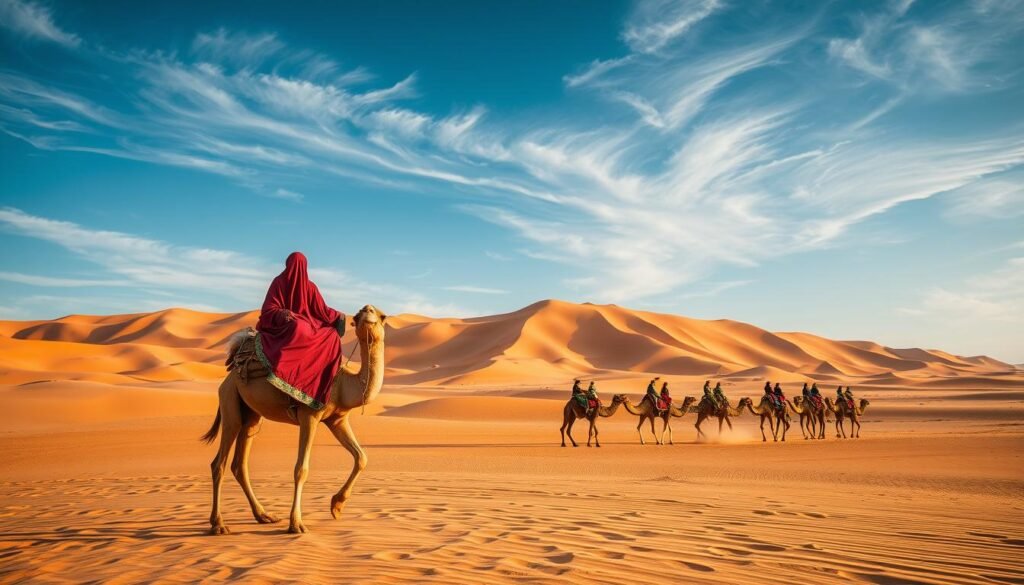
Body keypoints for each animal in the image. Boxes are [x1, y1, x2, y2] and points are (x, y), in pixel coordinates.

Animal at [201, 304, 387, 535]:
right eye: (359, 315)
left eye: (382, 317)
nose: (367, 309)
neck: (344, 385)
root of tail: (227, 378)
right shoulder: (310, 416)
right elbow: (301, 469)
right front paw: (296, 523)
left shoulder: (337, 420)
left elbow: (361, 457)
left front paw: (336, 506)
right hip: (230, 402)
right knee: (219, 462)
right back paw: (218, 524)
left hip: (250, 415)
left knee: (240, 463)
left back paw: (264, 515)